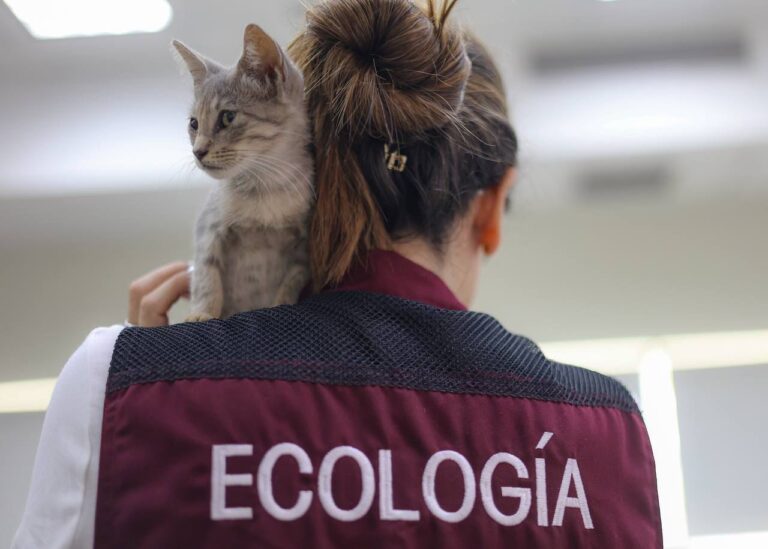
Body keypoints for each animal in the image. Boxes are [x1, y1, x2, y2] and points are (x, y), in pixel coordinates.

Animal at [172, 25, 314, 324]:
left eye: (227, 117)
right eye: (194, 124)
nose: (197, 151)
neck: (266, 190)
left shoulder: (304, 249)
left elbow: (292, 280)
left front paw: (280, 305)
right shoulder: (208, 231)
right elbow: (207, 277)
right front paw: (201, 314)